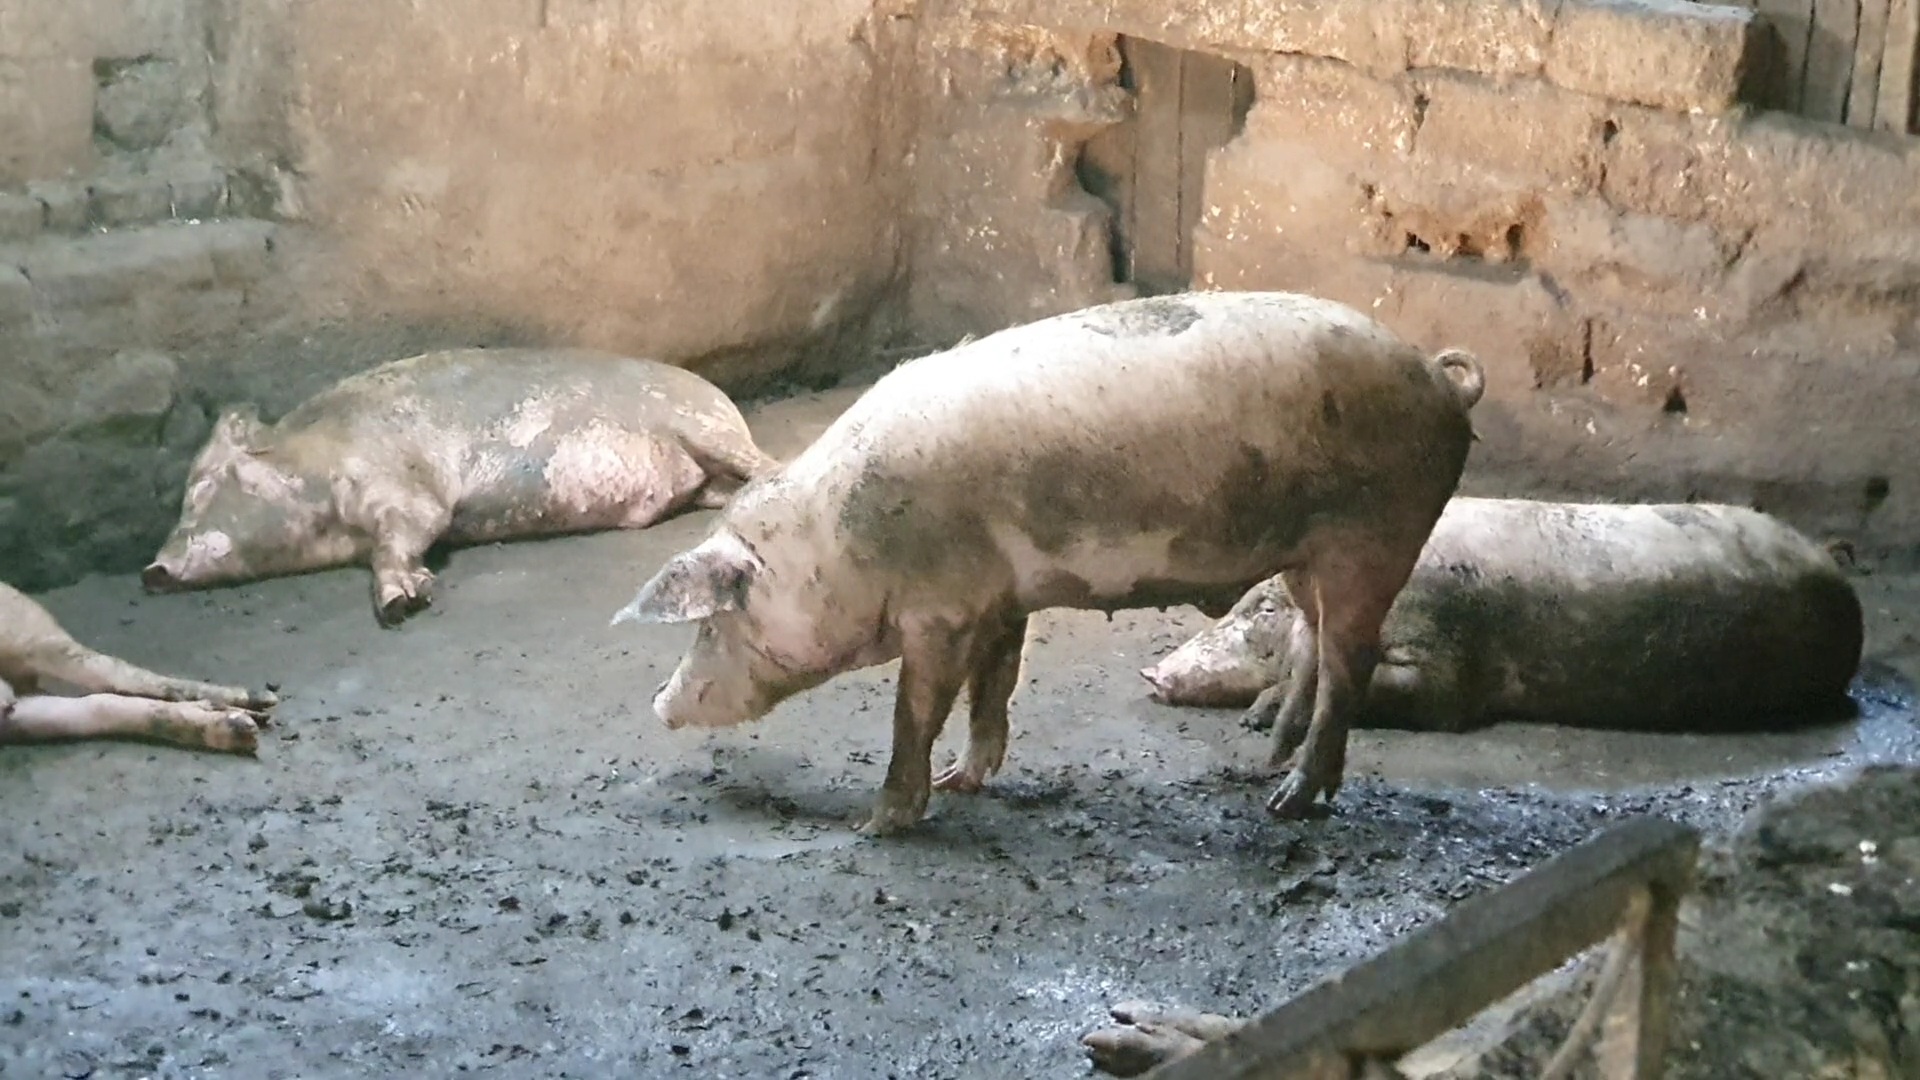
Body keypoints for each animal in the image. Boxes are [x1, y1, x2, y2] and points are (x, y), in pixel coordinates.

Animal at [1, 580, 276, 754]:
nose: (6, 705)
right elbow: (93, 712)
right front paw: (238, 728)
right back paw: (242, 721)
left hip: (33, 638)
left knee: (116, 672)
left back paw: (258, 699)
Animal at [144, 348, 780, 627]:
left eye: (205, 484)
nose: (153, 569)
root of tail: (721, 399)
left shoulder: (404, 488)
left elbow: (406, 534)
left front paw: (401, 605)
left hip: (704, 428)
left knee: (767, 463)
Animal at [609, 291, 1487, 835]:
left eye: (713, 624)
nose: (658, 704)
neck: (839, 540)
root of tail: (1440, 381)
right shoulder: (997, 598)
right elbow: (992, 689)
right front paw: (965, 782)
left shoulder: (940, 611)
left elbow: (915, 711)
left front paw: (878, 823)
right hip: (1311, 556)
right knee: (1312, 645)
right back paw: (1262, 768)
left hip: (1376, 536)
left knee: (1349, 664)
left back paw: (1289, 803)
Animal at [1140, 497, 1865, 734]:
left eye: (1263, 607)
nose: (1152, 675)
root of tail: (1831, 560)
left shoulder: (1442, 651)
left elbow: (1430, 695)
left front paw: (1258, 715)